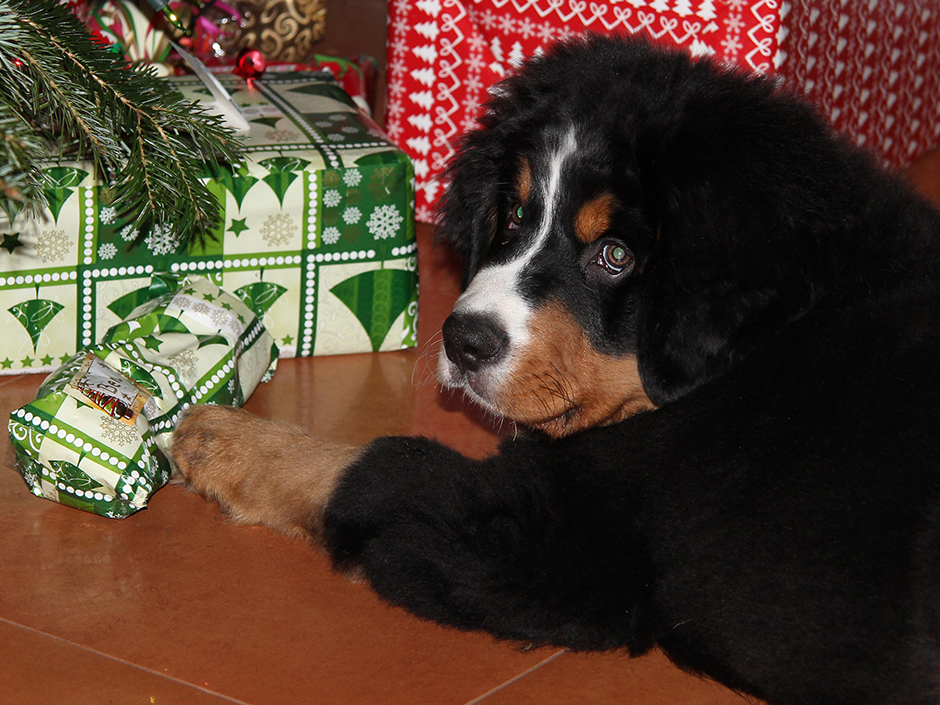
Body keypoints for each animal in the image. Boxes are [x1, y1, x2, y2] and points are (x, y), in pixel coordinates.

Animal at [173, 37, 940, 704]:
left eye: (616, 256)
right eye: (513, 213)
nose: (463, 340)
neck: (772, 337)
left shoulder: (558, 546)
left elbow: (371, 466)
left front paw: (224, 438)